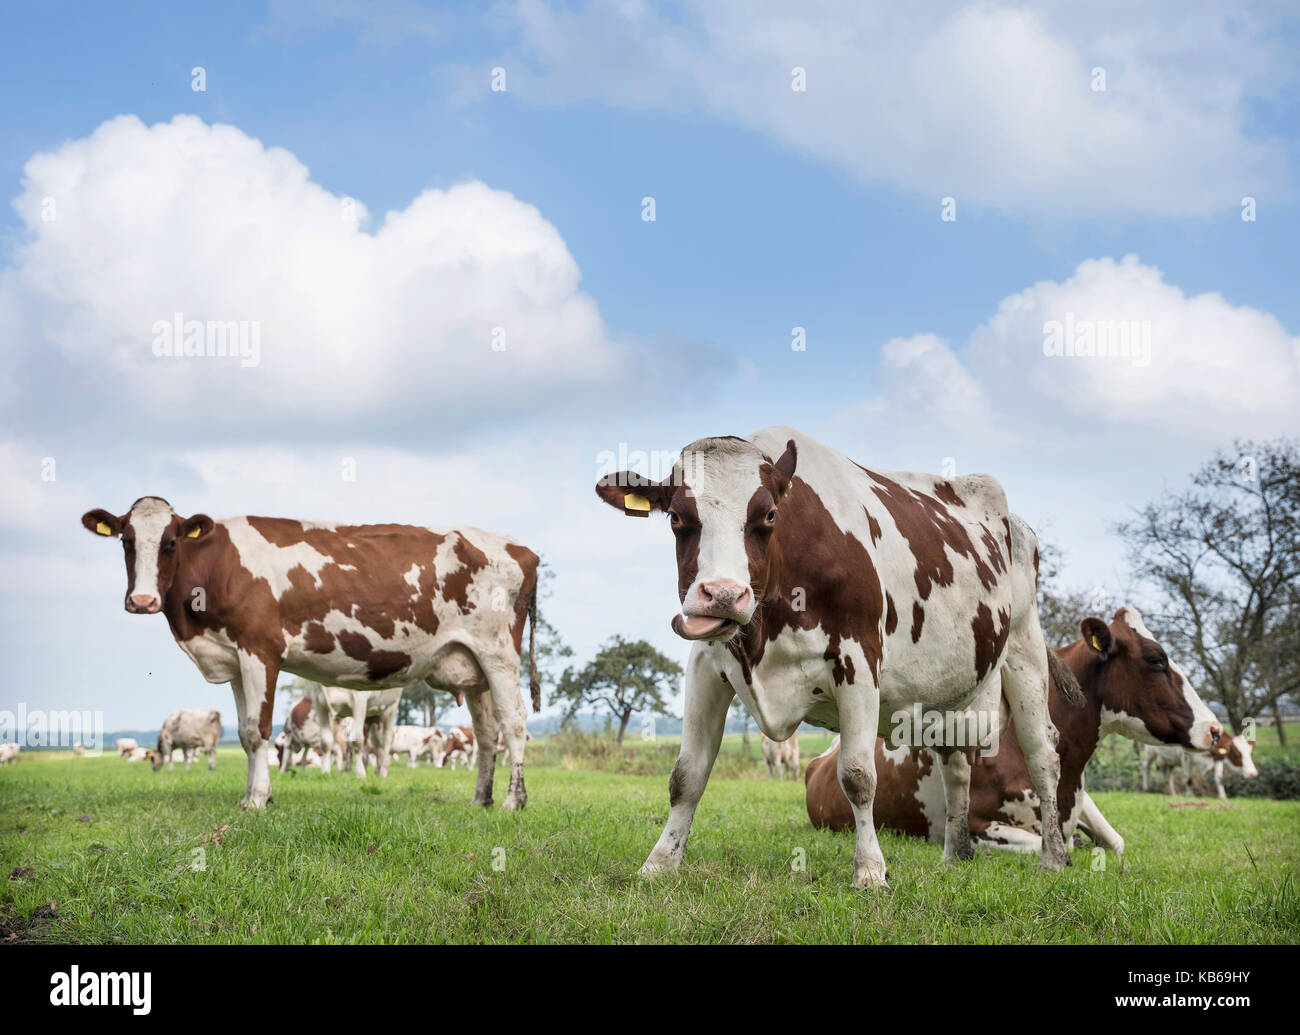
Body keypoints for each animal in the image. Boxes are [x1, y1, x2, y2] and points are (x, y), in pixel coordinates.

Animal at [82, 496, 538, 811]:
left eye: (171, 542)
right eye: (126, 540)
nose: (142, 600)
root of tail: (520, 548)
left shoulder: (260, 650)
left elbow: (257, 730)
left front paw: (257, 800)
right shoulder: (234, 660)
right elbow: (244, 734)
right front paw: (255, 795)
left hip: (499, 654)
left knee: (513, 723)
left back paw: (513, 800)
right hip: (473, 666)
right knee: (486, 733)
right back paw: (480, 799)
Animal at [595, 423, 1071, 884]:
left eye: (769, 515)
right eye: (677, 517)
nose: (724, 595)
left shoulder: (858, 661)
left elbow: (858, 775)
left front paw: (870, 871)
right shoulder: (705, 666)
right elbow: (686, 774)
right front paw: (659, 864)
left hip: (1025, 648)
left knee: (1043, 755)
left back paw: (1053, 859)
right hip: (949, 692)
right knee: (955, 762)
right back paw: (955, 856)